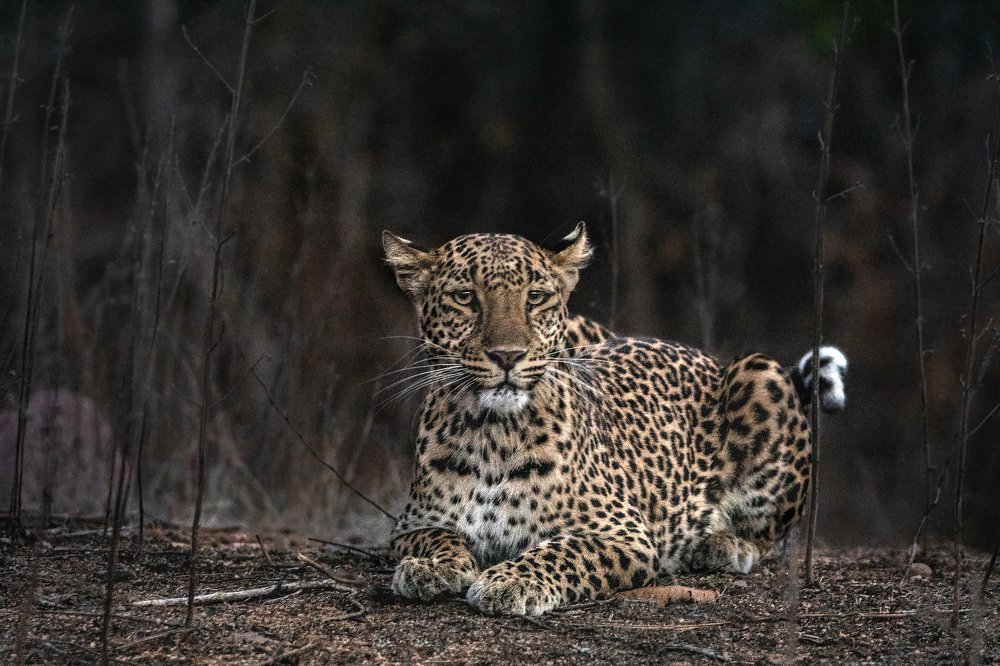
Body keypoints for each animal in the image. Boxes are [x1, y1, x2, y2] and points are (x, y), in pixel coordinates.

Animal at [382, 223, 847, 616]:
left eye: (535, 297)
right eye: (465, 297)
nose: (508, 356)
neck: (492, 434)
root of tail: (707, 358)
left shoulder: (622, 533)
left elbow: (562, 552)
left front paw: (508, 582)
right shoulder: (412, 524)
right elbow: (439, 539)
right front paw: (429, 568)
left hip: (761, 374)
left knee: (768, 530)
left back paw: (724, 544)